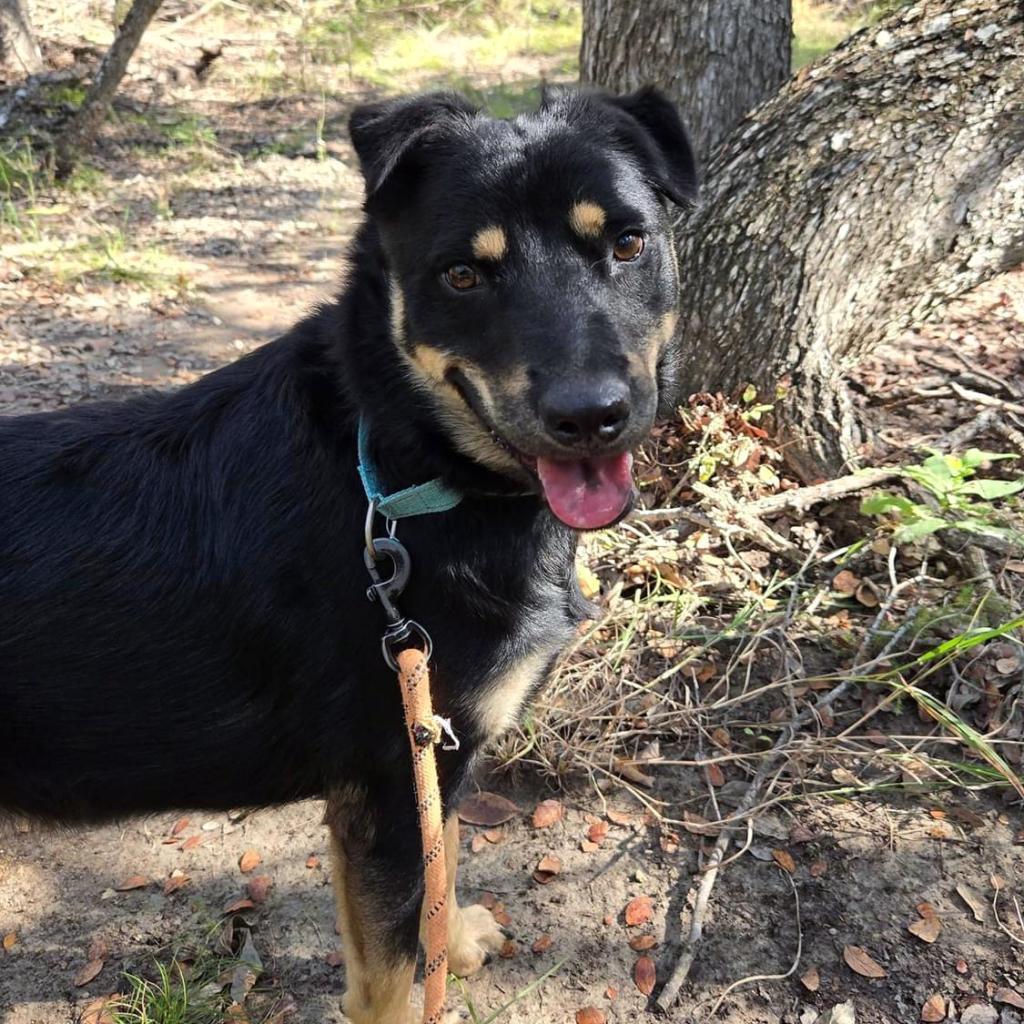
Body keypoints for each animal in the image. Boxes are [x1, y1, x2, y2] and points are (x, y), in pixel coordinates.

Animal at [0, 88, 696, 1024]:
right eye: (463, 275)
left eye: (626, 243)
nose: (590, 417)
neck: (404, 479)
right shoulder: (388, 785)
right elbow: (393, 974)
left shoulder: (427, 752)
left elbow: (439, 878)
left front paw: (454, 940)